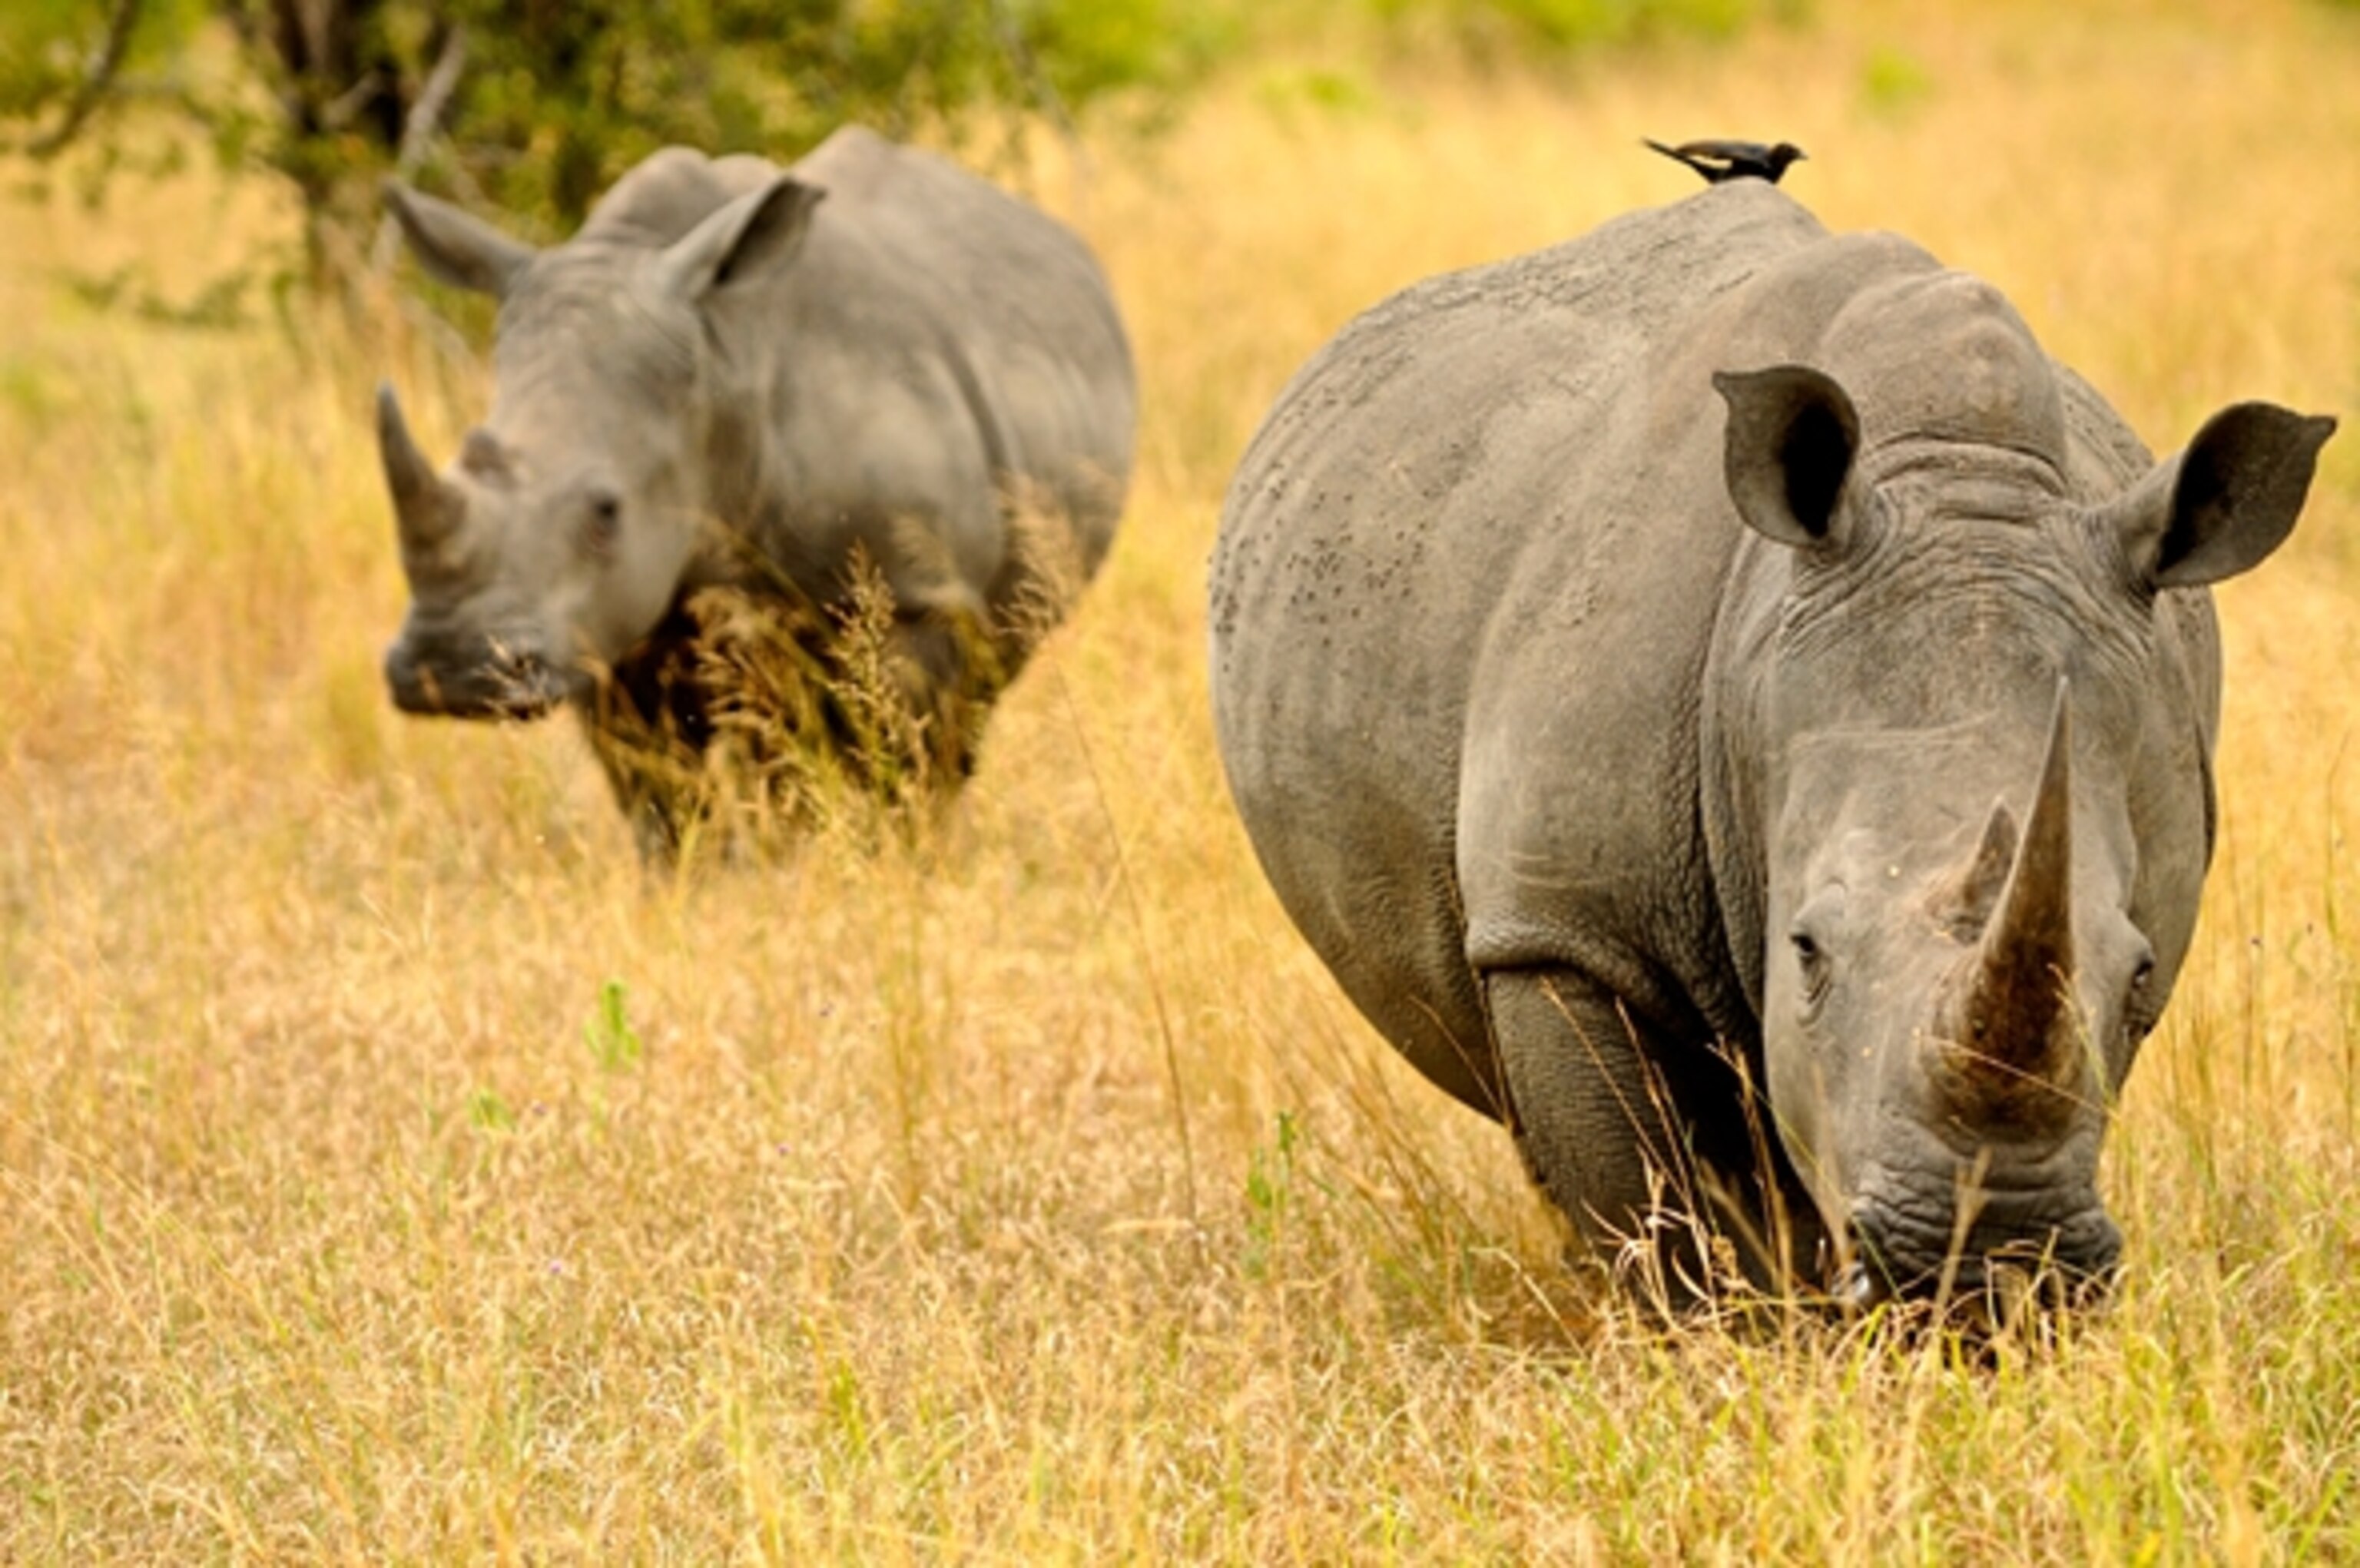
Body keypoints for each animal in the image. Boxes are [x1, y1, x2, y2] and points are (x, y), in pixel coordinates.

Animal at [376, 128, 1135, 852]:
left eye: (605, 511)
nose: (447, 670)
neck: (717, 374)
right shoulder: (597, 630)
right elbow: (663, 799)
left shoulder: (916, 595)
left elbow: (898, 767)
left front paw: (895, 867)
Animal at [1210, 182, 2334, 1307]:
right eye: (1807, 948)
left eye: (2138, 971)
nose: (1989, 1275)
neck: (1958, 488)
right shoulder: (1564, 926)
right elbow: (1657, 1206)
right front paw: (1718, 1332)